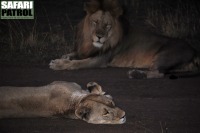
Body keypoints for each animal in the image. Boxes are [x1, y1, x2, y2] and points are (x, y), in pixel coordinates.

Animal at [49, 0, 199, 78]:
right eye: (95, 22)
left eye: (107, 25)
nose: (99, 36)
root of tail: (194, 51)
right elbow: (73, 54)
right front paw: (64, 57)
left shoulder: (99, 60)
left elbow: (76, 64)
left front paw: (59, 64)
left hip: (164, 56)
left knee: (158, 73)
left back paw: (136, 74)